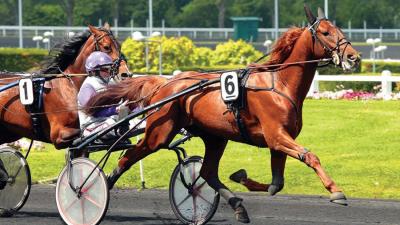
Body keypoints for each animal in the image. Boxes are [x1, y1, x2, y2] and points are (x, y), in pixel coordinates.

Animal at [86, 5, 360, 223]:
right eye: (325, 32)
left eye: (338, 28)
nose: (353, 57)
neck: (279, 84)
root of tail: (164, 83)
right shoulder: (277, 136)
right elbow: (309, 156)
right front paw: (336, 191)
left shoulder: (278, 141)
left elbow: (276, 185)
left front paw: (241, 177)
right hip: (159, 133)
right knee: (127, 157)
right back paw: (97, 188)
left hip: (215, 136)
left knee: (207, 173)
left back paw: (238, 207)